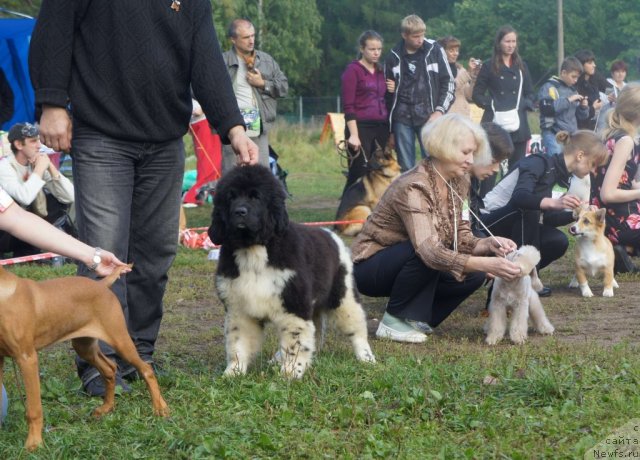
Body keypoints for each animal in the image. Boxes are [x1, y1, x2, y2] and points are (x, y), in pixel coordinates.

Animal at [0, 266, 169, 450]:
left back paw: (160, 408)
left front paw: (34, 443)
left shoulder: (27, 358)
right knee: (110, 368)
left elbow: (34, 409)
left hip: (120, 341)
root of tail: (101, 285)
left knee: (146, 369)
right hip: (85, 347)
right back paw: (106, 408)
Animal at [209, 164, 376, 378]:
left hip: (343, 297)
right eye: (231, 197)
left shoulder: (294, 305)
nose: (239, 211)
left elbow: (295, 342)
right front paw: (234, 372)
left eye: (256, 197)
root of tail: (330, 234)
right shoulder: (239, 308)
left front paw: (290, 372)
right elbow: (238, 343)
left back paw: (366, 357)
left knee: (357, 330)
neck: (254, 249)